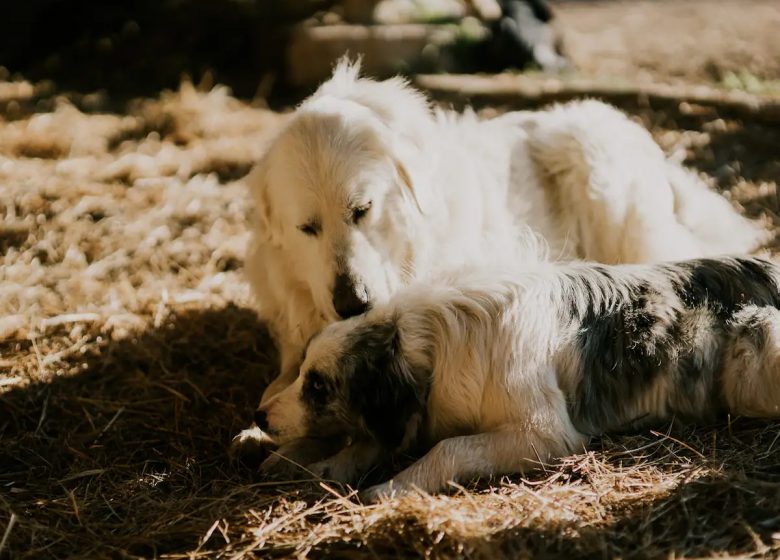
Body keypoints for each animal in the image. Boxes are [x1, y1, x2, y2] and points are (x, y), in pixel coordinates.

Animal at [236, 59, 760, 464]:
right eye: (307, 228)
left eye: (361, 209)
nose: (351, 303)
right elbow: (285, 381)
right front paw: (263, 427)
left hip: (597, 173)